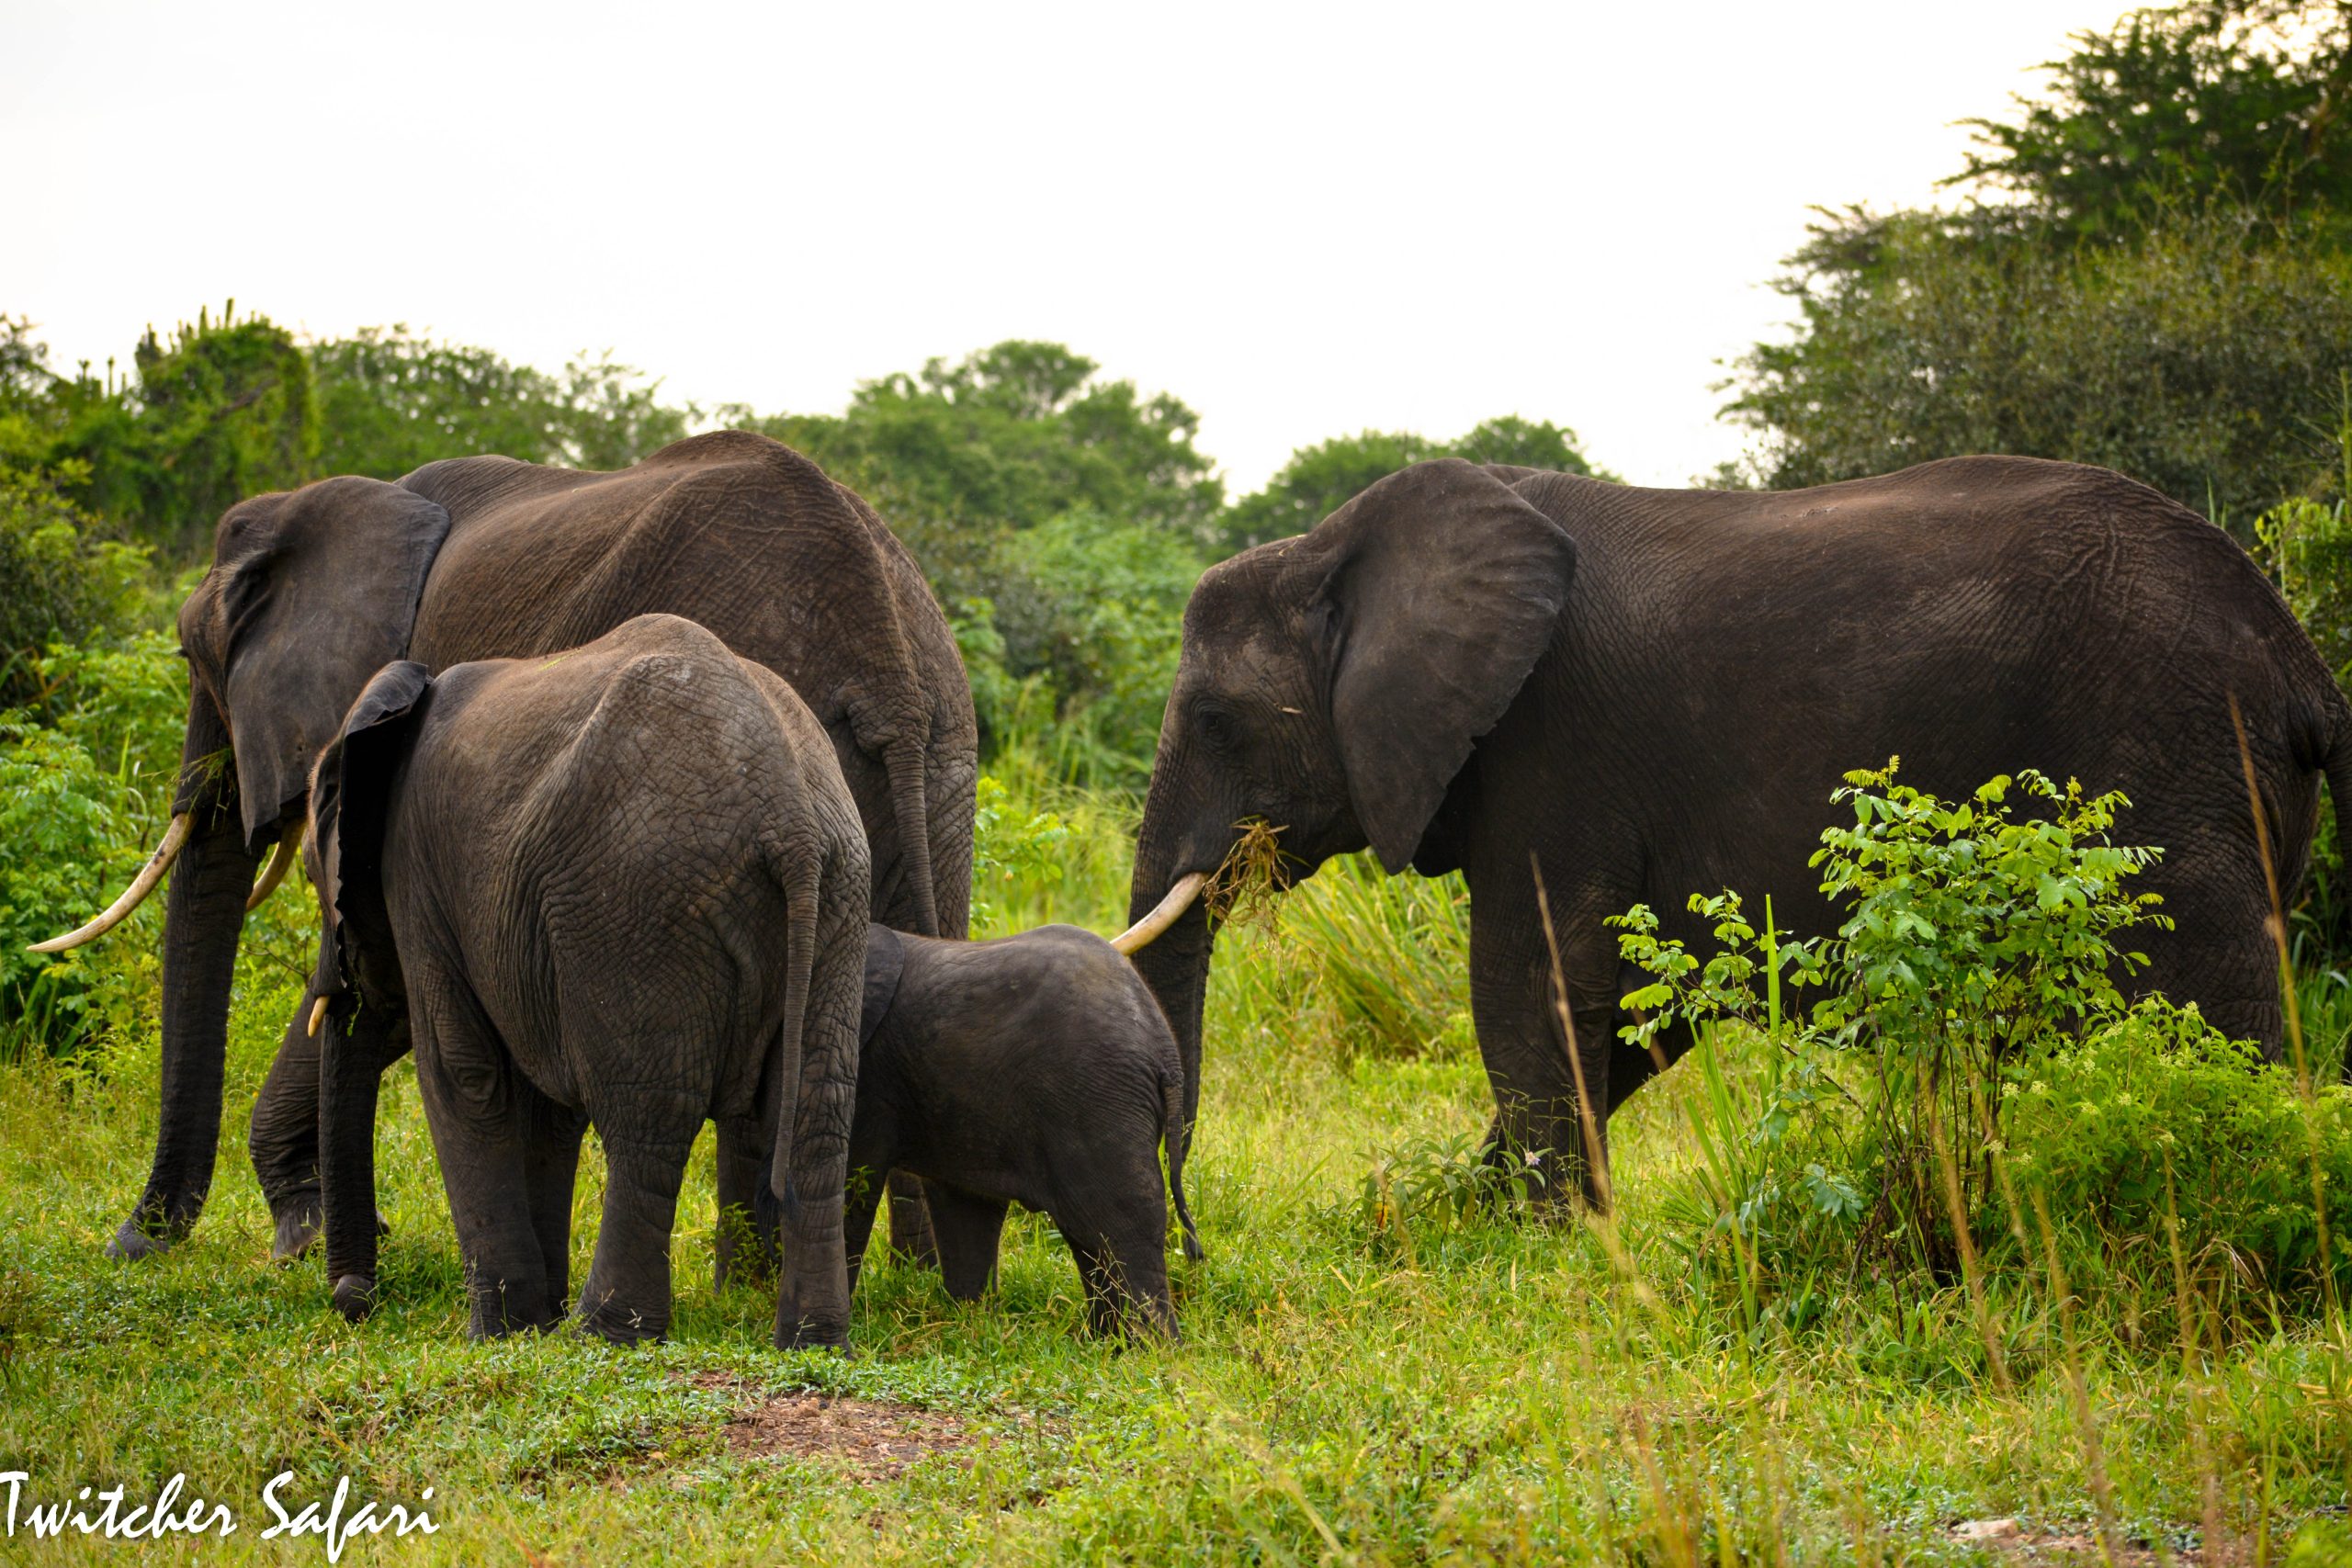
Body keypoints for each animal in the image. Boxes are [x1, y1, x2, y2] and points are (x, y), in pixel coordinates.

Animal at [37, 434, 973, 1269]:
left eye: (193, 656)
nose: (134, 1243)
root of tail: (886, 663)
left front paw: (298, 1237)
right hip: (935, 767)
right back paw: (908, 1280)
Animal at [308, 611, 870, 1354]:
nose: (353, 1300)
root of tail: (792, 822)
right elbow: (548, 1107)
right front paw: (532, 1326)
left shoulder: (418, 873)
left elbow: (465, 1073)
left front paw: (497, 1335)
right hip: (838, 897)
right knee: (817, 1112)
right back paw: (814, 1340)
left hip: (638, 905)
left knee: (648, 1123)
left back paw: (605, 1333)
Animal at [851, 926, 1213, 1344]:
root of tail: (1164, 1049)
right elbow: (965, 1203)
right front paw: (971, 1326)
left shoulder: (870, 1080)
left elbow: (856, 1178)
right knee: (1089, 1236)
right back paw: (1107, 1344)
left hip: (1093, 1101)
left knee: (1120, 1227)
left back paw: (1151, 1351)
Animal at [1114, 460, 2352, 1213]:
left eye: (1216, 721)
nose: (1190, 1227)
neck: (1335, 546)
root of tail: (2299, 663)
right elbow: (1632, 1010)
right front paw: (1481, 1207)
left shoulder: (1552, 746)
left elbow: (1530, 981)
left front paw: (1542, 1233)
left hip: (2173, 759)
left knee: (2215, 1004)